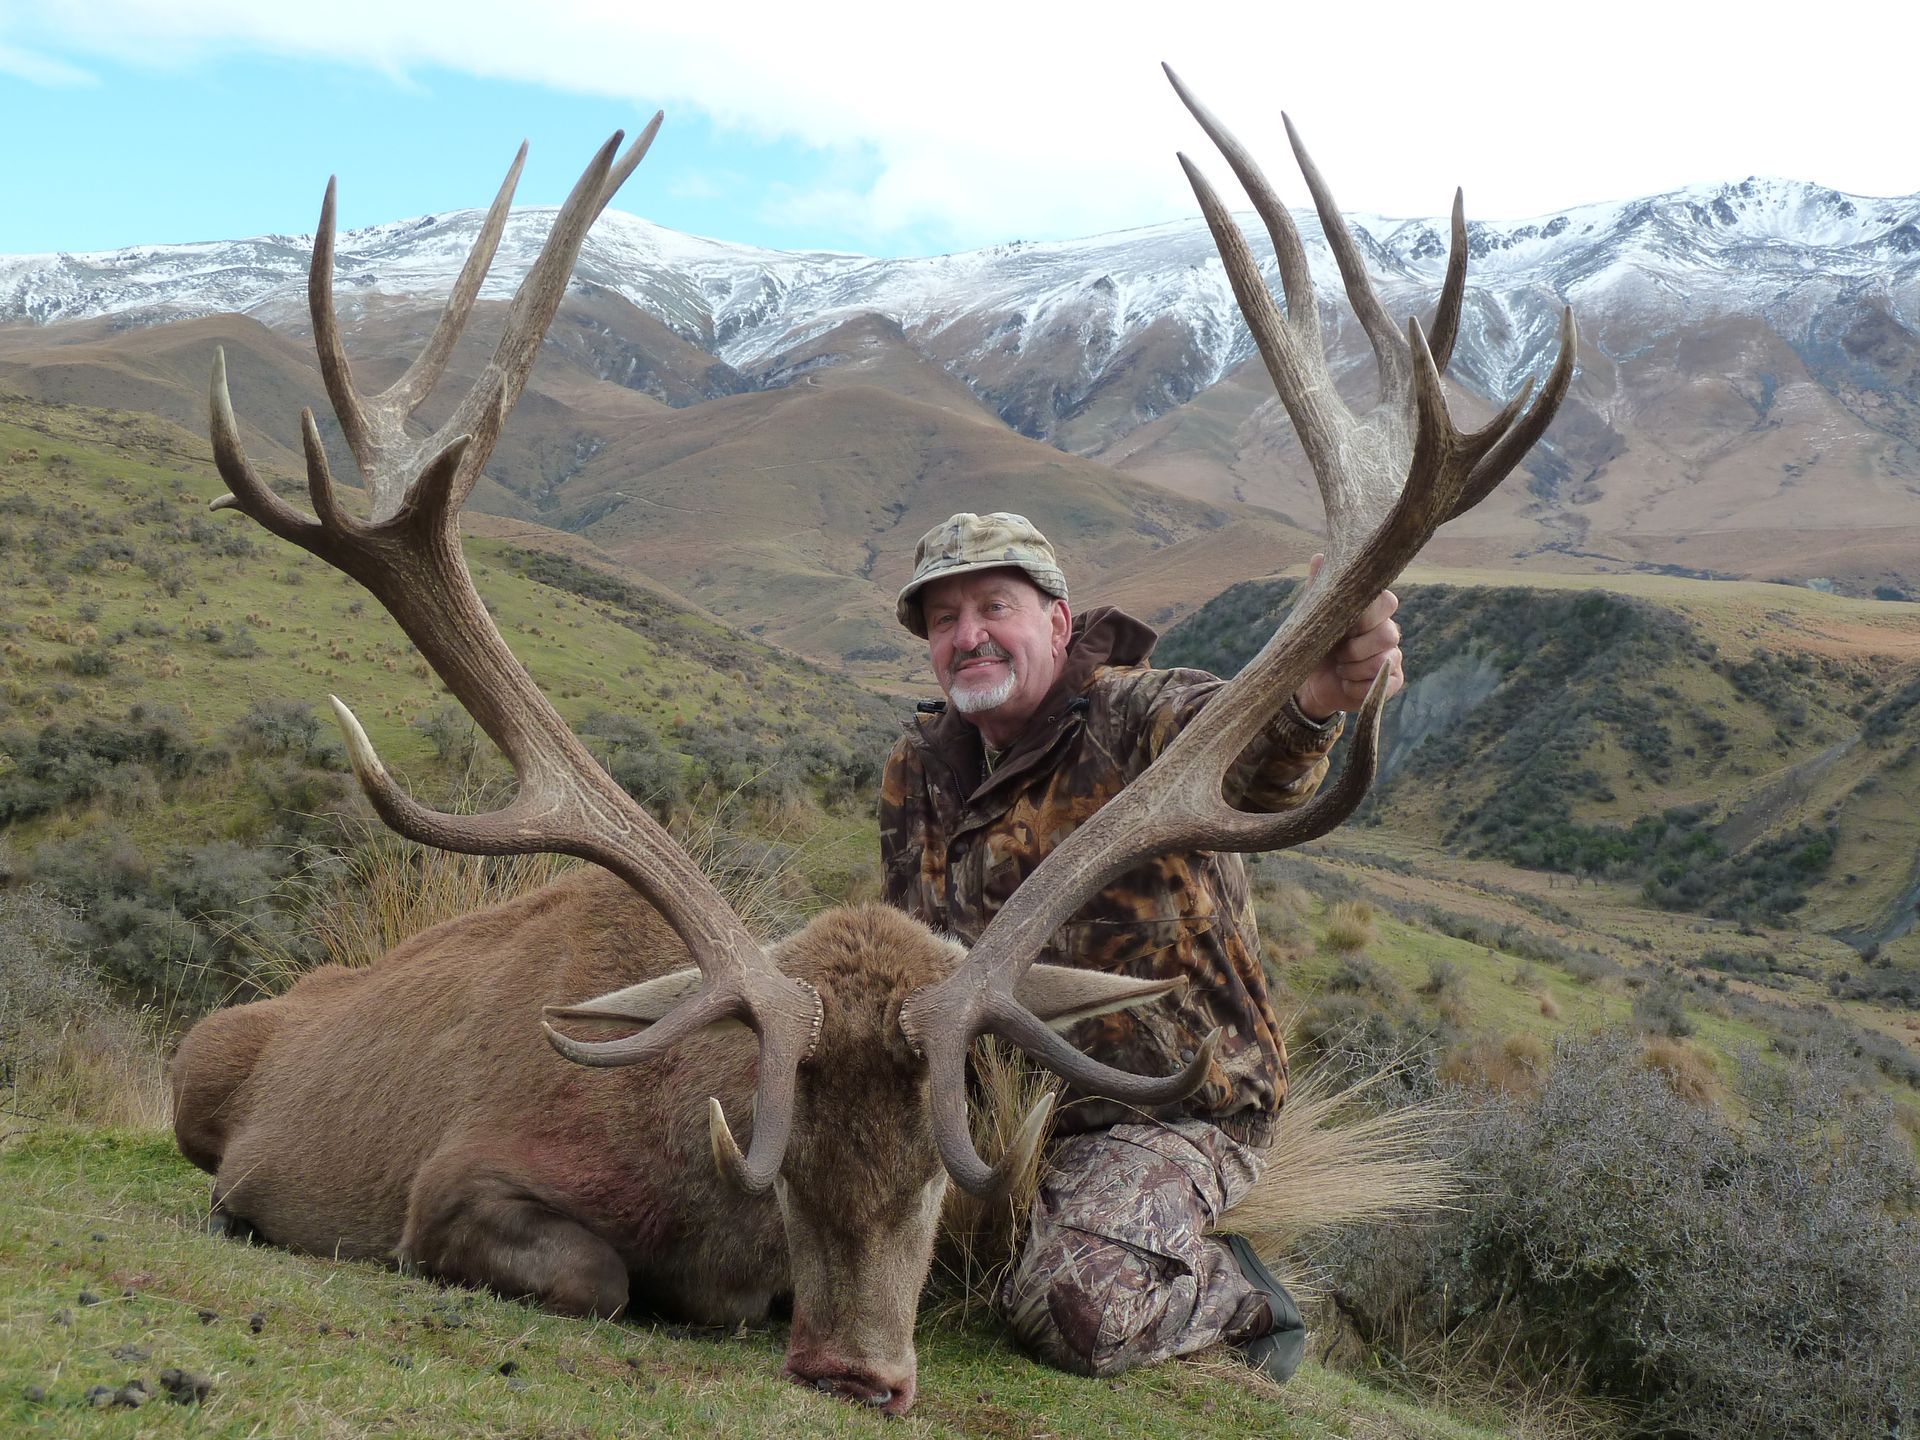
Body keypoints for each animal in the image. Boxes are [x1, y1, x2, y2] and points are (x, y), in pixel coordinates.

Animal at [170, 71, 1572, 1417]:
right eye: (783, 1173)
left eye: (939, 1184)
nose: (857, 1371)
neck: (694, 1188)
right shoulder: (455, 1180)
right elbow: (590, 1271)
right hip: (198, 1064)